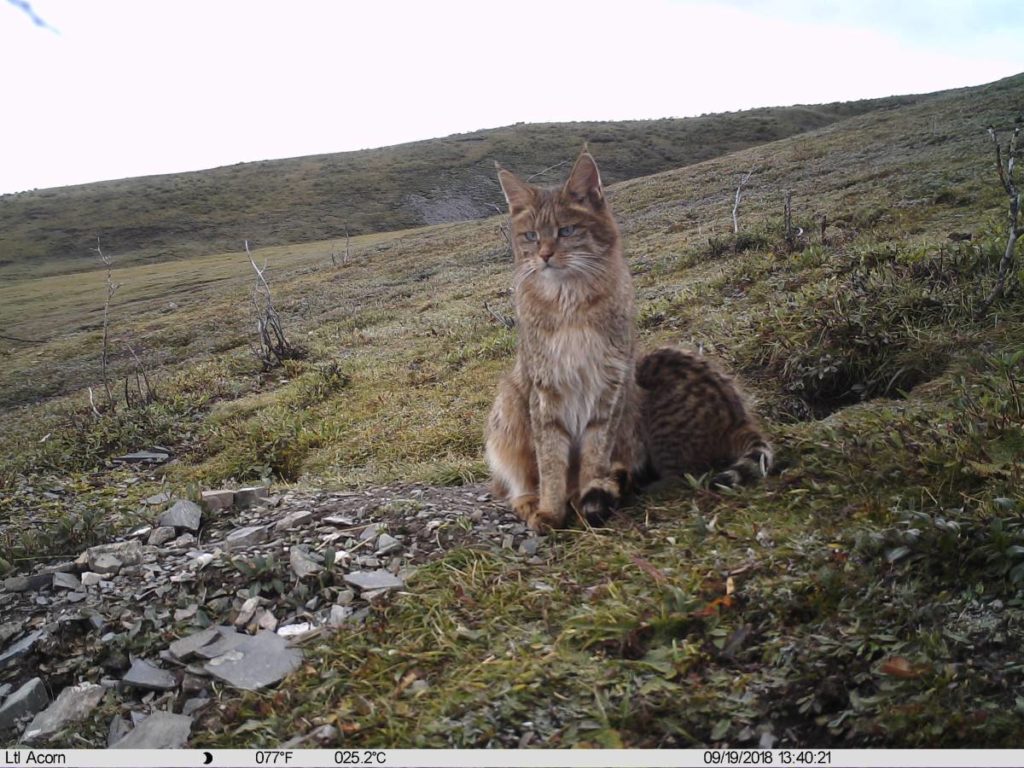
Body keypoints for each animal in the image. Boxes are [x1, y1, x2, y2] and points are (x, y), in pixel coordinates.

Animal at [485, 150, 770, 536]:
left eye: (566, 231)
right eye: (530, 236)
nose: (543, 255)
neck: (569, 303)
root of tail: (738, 419)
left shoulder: (610, 390)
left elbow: (594, 457)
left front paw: (586, 498)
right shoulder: (545, 393)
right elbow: (550, 463)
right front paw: (551, 509)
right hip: (510, 406)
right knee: (512, 480)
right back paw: (530, 500)